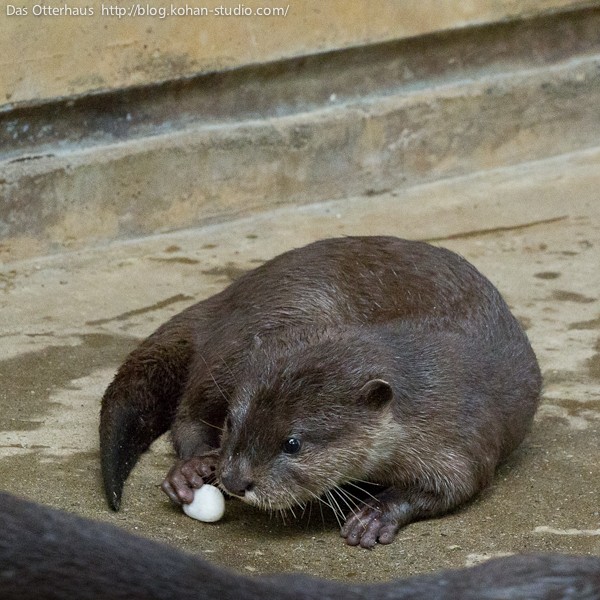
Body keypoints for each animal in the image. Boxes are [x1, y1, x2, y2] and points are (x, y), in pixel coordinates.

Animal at [99, 236, 544, 548]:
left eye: (293, 443)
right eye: (231, 423)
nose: (235, 480)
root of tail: (229, 295)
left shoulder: (461, 434)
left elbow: (458, 485)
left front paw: (375, 515)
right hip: (250, 333)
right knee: (187, 411)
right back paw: (190, 469)